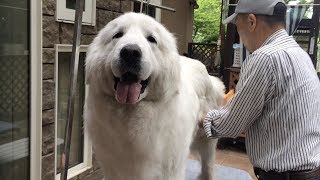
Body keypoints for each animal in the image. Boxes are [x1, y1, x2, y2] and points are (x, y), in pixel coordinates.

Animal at [85, 12, 225, 180]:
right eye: (117, 35)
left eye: (151, 39)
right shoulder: (114, 168)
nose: (130, 52)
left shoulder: (170, 169)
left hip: (207, 139)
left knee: (208, 167)